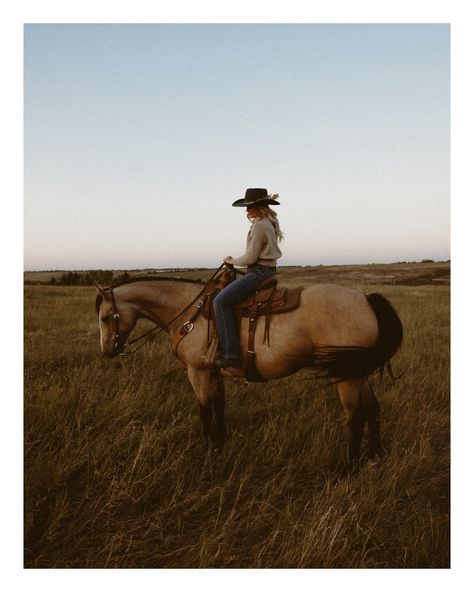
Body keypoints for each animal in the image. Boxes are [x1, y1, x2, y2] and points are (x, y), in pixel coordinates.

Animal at [95, 270, 404, 470]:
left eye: (105, 317)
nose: (108, 351)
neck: (188, 313)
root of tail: (366, 298)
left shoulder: (197, 373)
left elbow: (204, 411)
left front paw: (208, 452)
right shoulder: (214, 373)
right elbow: (219, 406)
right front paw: (221, 445)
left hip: (348, 376)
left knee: (355, 416)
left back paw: (349, 467)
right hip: (358, 373)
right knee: (372, 408)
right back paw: (375, 456)